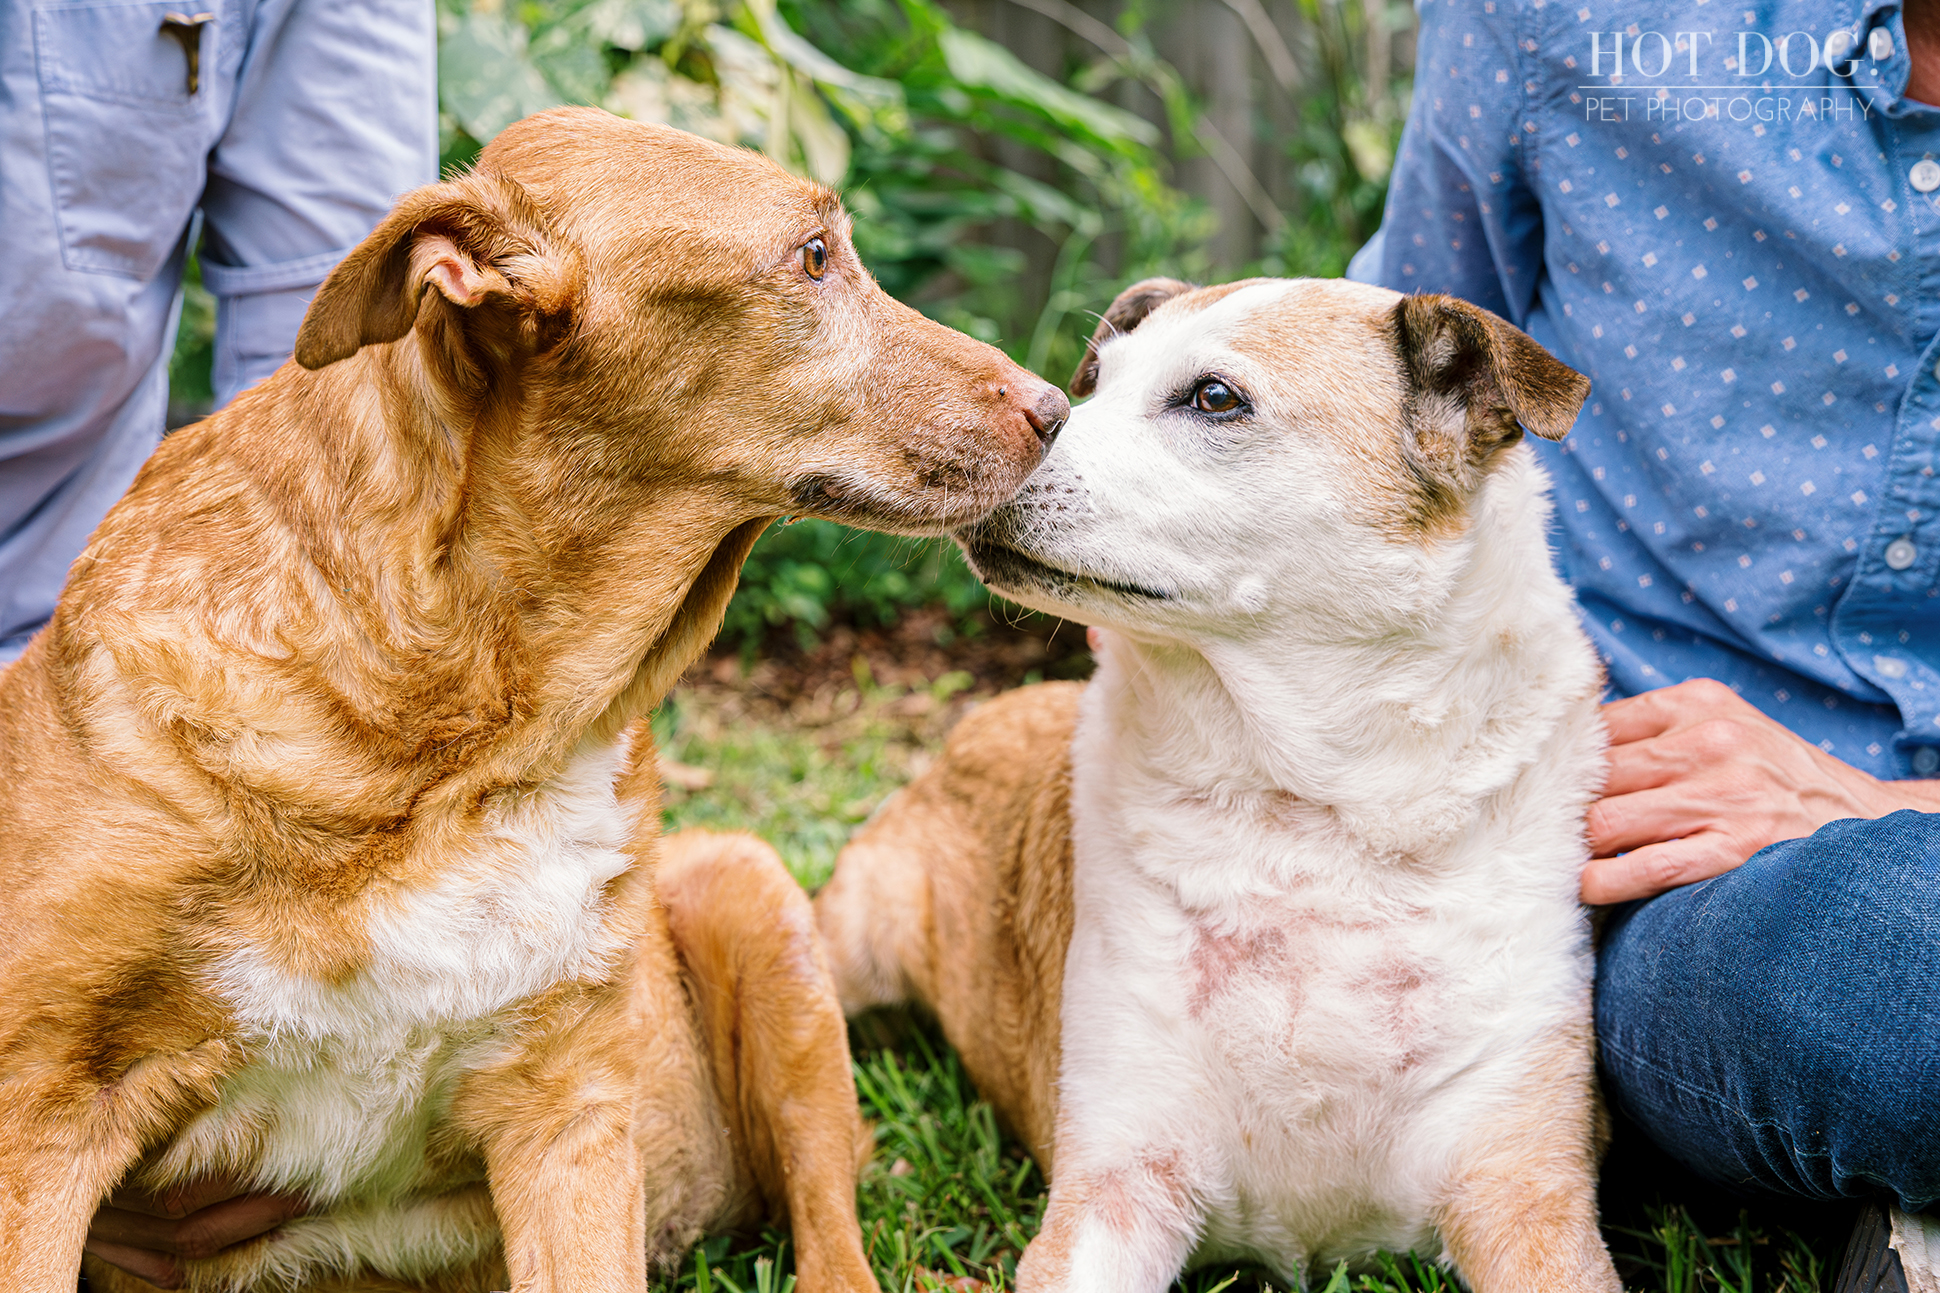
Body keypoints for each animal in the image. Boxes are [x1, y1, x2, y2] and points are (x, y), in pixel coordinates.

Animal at [0, 103, 1070, 1289]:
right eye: (812, 257)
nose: (1058, 408)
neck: (472, 732)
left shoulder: (569, 1119)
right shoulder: (41, 1117)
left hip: (756, 909)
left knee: (828, 1222)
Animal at [810, 279, 1614, 1289]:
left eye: (1216, 398)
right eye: (1096, 381)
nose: (1026, 419)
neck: (1309, 818)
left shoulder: (1525, 1191)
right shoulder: (1117, 1183)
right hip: (845, 945)